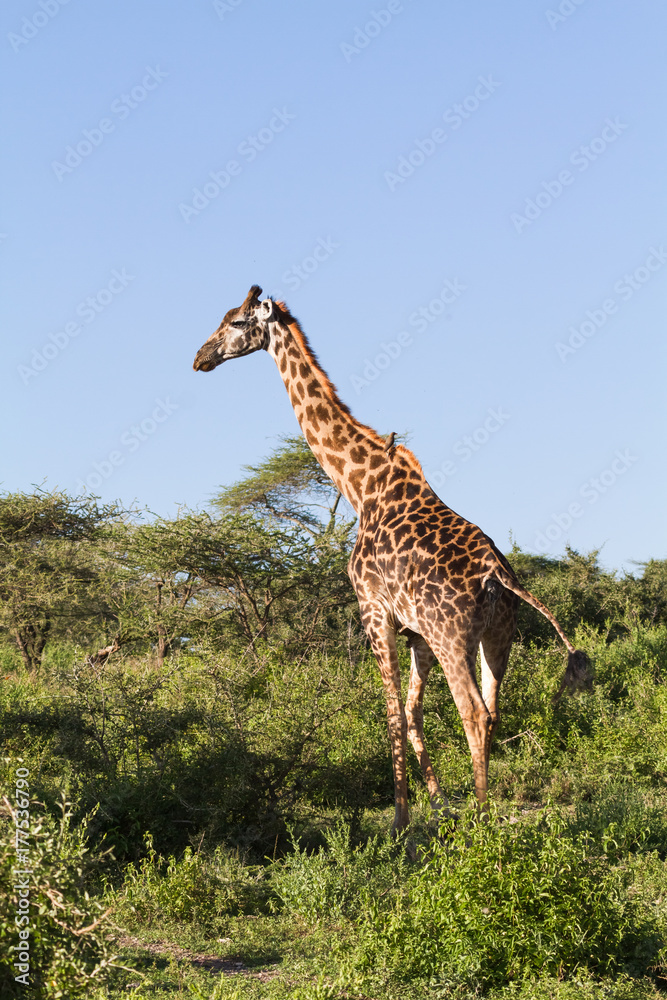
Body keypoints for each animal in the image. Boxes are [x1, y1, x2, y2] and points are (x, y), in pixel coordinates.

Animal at [193, 285, 592, 832]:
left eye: (235, 322)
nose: (200, 358)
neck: (359, 486)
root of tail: (499, 577)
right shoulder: (415, 633)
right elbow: (413, 713)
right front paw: (438, 809)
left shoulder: (374, 612)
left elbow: (391, 714)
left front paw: (401, 824)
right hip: (497, 638)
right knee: (492, 711)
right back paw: (479, 813)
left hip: (454, 638)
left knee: (471, 712)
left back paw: (483, 825)